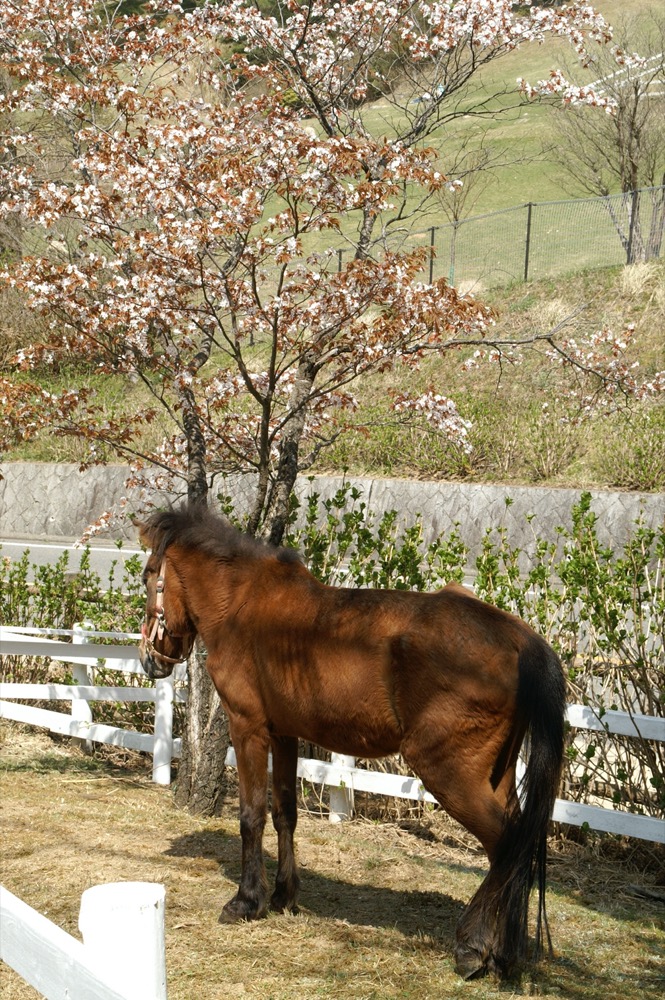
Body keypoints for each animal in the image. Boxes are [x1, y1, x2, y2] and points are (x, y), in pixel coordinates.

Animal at [137, 504, 564, 980]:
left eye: (149, 574)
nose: (150, 659)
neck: (244, 604)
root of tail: (518, 636)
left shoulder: (247, 728)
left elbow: (251, 815)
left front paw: (247, 901)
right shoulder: (285, 733)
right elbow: (285, 813)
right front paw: (283, 896)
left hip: (448, 771)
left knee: (506, 843)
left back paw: (473, 947)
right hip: (498, 773)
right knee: (515, 843)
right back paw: (505, 950)